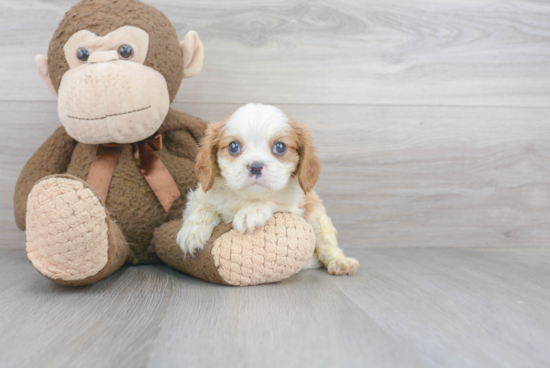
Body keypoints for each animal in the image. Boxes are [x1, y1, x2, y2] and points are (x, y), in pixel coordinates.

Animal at [175, 102, 360, 274]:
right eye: (234, 146)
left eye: (280, 147)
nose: (256, 166)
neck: (246, 196)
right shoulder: (200, 195)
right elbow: (203, 208)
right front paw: (192, 232)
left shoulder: (293, 205)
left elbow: (272, 199)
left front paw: (251, 212)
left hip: (317, 217)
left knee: (327, 245)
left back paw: (340, 262)